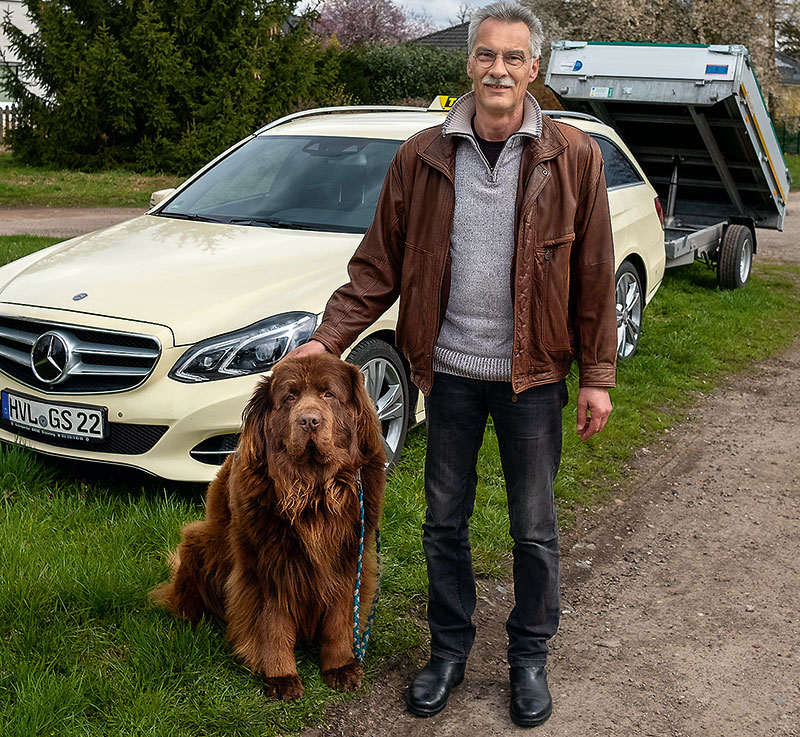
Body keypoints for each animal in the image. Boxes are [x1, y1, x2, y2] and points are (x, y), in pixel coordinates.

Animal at [152, 354, 388, 700]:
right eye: (289, 397)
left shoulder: (347, 560)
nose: (309, 421)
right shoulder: (266, 565)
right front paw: (280, 675)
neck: (313, 491)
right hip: (199, 542)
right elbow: (272, 623)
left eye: (328, 394)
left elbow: (338, 618)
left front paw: (340, 666)